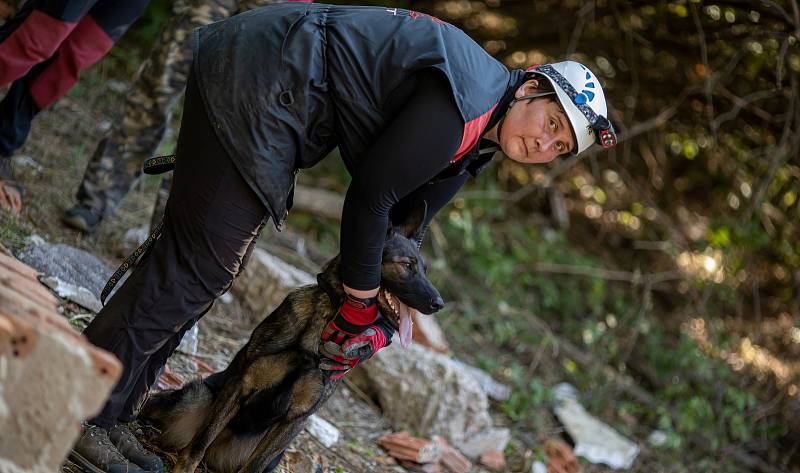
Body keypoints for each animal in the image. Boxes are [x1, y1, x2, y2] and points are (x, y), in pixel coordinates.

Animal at [139, 205, 444, 472]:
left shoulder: (294, 419)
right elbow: (198, 445)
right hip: (194, 397)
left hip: (275, 453)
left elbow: (253, 467)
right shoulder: (241, 385)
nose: (438, 304)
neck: (323, 326)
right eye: (407, 265)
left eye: (425, 269)